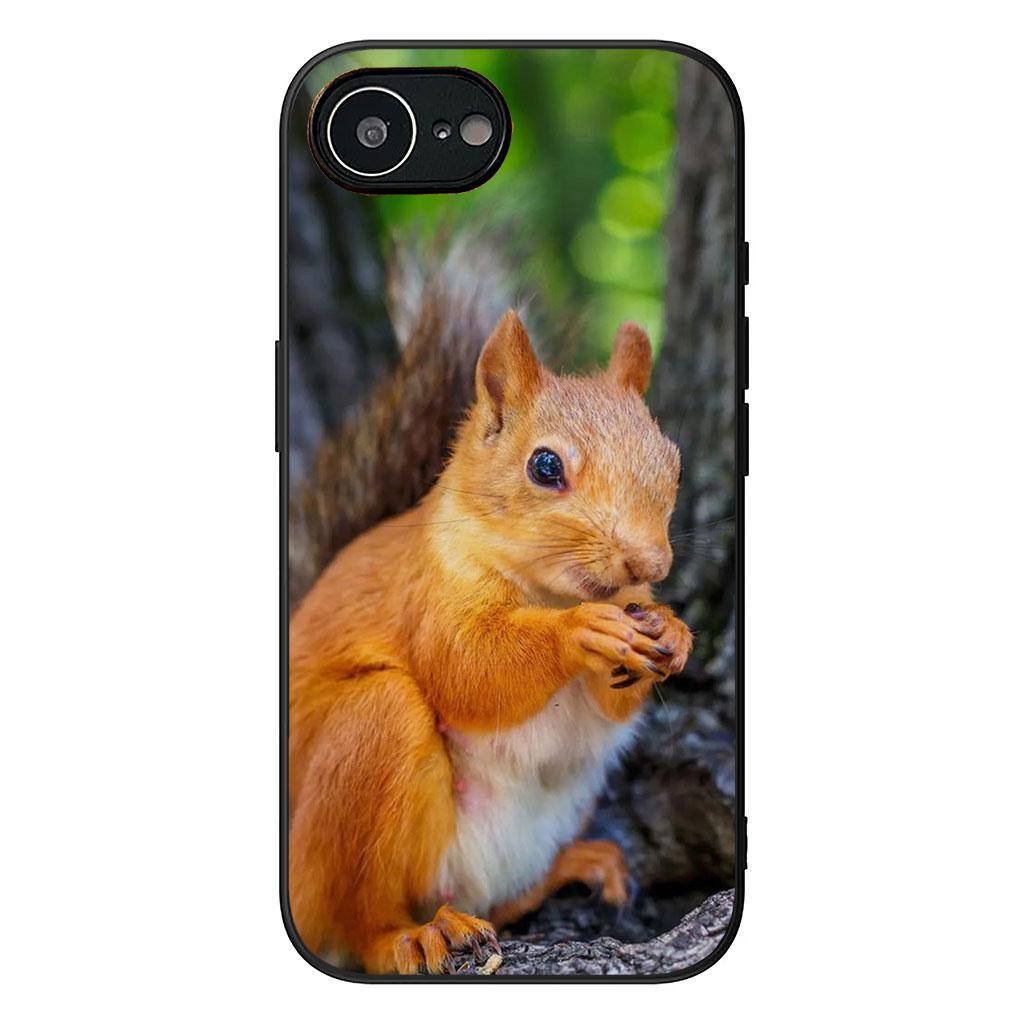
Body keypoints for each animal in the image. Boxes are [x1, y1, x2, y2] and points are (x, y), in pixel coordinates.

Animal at [288, 265, 693, 974]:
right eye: (545, 466)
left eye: (672, 463)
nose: (650, 560)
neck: (551, 592)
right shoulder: (430, 592)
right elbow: (469, 669)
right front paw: (577, 634)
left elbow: (614, 700)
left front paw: (672, 630)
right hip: (361, 765)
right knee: (360, 924)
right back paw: (411, 937)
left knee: (499, 902)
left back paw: (572, 867)